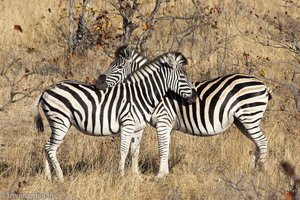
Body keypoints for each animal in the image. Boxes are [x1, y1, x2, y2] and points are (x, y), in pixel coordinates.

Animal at [34, 49, 196, 181]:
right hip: (60, 121)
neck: (141, 95)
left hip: (59, 122)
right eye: (183, 77)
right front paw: (121, 176)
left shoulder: (138, 128)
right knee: (51, 148)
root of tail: (47, 89)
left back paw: (48, 177)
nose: (194, 98)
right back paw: (60, 177)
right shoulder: (127, 124)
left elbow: (135, 151)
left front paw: (136, 177)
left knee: (46, 146)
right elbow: (123, 150)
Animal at [96, 46, 272, 177]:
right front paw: (165, 172)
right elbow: (165, 147)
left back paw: (260, 170)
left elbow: (162, 148)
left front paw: (160, 175)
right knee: (257, 143)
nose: (98, 83)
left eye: (118, 66)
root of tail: (263, 85)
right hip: (243, 121)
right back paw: (254, 170)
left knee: (262, 142)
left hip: (249, 117)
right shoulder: (166, 125)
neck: (152, 90)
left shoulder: (163, 121)